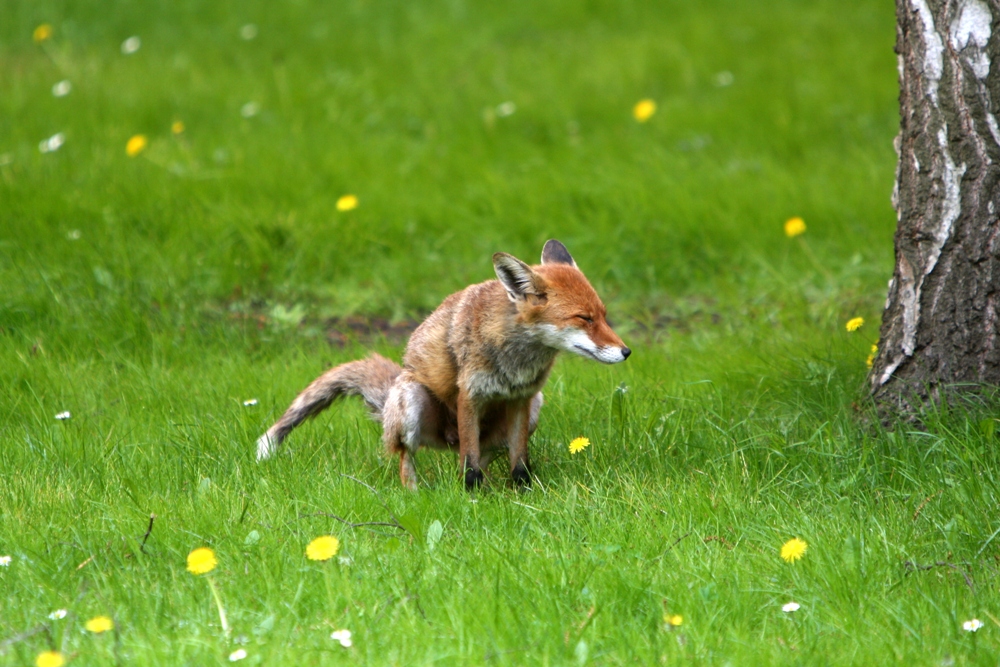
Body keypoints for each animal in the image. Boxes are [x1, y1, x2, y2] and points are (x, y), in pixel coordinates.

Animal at [254, 241, 628, 490]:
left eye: (603, 316)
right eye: (584, 318)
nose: (626, 352)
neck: (518, 357)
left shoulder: (523, 397)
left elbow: (519, 463)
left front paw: (523, 495)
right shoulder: (469, 395)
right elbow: (470, 468)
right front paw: (472, 498)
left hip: (534, 407)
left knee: (483, 454)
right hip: (410, 402)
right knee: (409, 456)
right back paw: (415, 494)